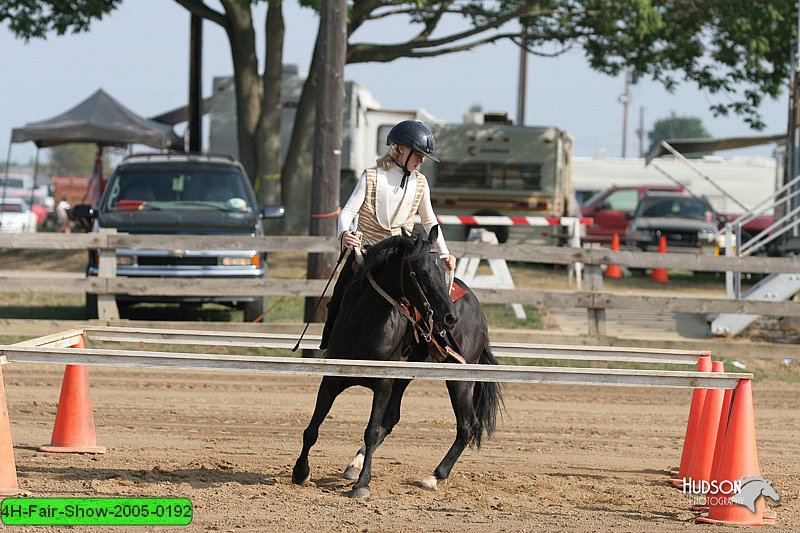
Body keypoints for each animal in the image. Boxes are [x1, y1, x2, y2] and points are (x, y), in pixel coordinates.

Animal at [290, 224, 504, 498]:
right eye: (421, 272)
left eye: (441, 270)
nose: (449, 318)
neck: (364, 325)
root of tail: (476, 307)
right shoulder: (332, 379)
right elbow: (313, 428)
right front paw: (301, 472)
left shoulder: (383, 384)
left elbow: (371, 431)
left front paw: (362, 484)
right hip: (404, 376)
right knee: (392, 419)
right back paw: (354, 465)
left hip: (459, 380)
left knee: (467, 424)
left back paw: (434, 476)